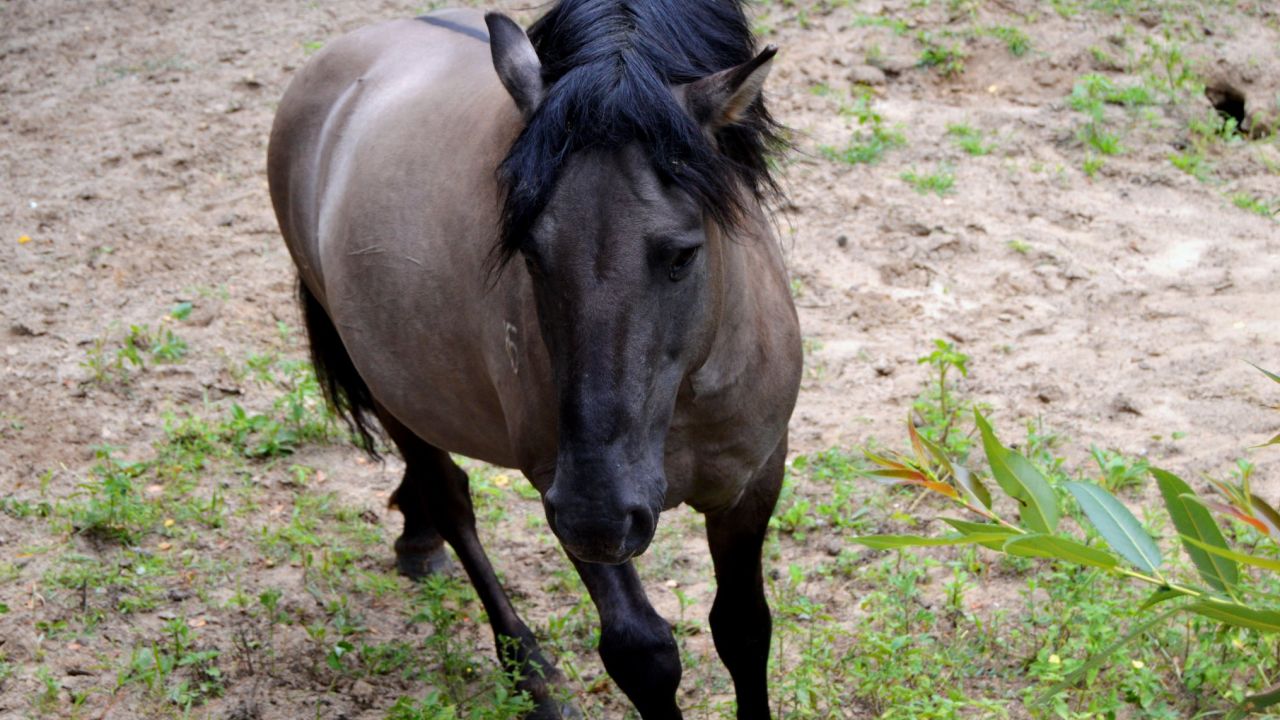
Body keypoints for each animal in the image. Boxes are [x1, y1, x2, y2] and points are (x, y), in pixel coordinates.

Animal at [264, 2, 793, 712]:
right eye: (531, 254)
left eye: (683, 253)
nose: (601, 512)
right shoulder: (557, 487)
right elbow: (643, 653)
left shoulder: (753, 480)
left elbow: (742, 629)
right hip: (388, 384)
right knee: (451, 500)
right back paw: (530, 672)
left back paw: (417, 536)